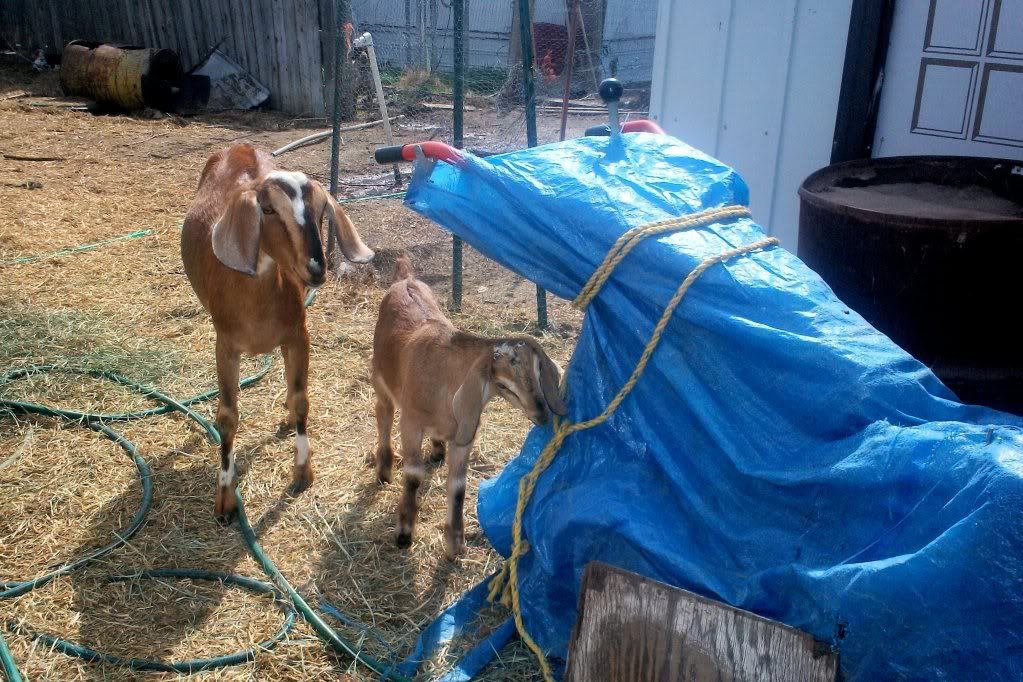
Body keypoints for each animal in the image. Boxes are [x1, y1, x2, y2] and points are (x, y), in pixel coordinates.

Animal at [181, 143, 374, 520]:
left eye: (320, 211)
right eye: (267, 209)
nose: (315, 268)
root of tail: (241, 147)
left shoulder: (297, 335)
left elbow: (301, 401)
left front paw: (302, 473)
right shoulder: (225, 346)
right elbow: (227, 418)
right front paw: (225, 499)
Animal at [371, 255, 567, 559]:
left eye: (537, 371)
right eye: (503, 383)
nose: (542, 414)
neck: (444, 380)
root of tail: (406, 279)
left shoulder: (464, 436)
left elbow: (458, 488)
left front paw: (455, 545)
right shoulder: (411, 423)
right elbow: (413, 476)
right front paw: (404, 534)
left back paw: (437, 451)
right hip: (380, 380)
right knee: (383, 415)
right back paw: (383, 470)